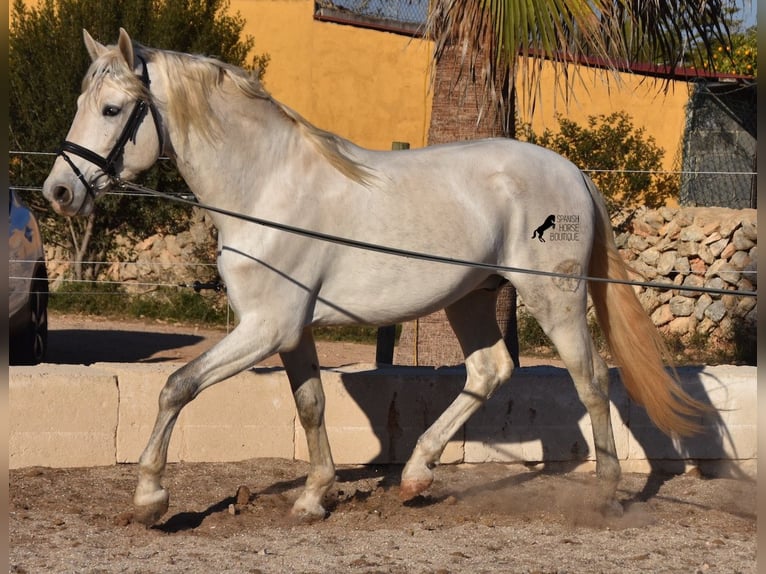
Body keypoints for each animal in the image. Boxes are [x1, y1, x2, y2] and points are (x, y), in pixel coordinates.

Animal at [43, 29, 708, 528]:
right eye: (79, 104)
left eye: (112, 109)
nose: (59, 191)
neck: (265, 189)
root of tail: (570, 171)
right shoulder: (291, 332)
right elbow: (310, 404)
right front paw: (315, 497)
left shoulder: (265, 326)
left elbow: (176, 387)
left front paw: (150, 499)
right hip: (471, 298)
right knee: (490, 370)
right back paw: (415, 477)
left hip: (555, 298)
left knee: (592, 380)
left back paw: (604, 495)